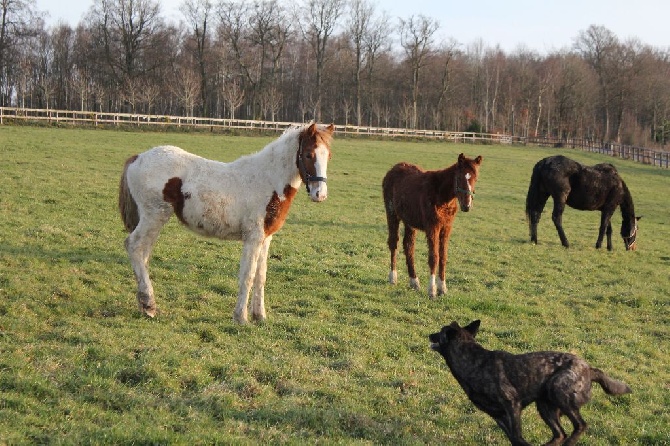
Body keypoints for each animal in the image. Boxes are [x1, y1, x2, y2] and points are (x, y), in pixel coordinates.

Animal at [120, 123, 336, 322]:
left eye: (328, 156)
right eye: (308, 155)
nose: (320, 194)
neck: (267, 181)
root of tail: (138, 158)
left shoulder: (265, 238)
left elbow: (261, 277)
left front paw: (260, 316)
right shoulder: (253, 238)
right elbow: (247, 276)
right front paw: (241, 317)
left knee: (143, 254)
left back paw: (146, 305)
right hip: (154, 216)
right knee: (134, 246)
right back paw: (149, 304)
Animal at [384, 154, 484, 300]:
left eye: (475, 178)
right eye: (459, 177)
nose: (466, 206)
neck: (441, 194)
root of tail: (393, 169)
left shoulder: (446, 228)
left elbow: (443, 257)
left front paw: (443, 288)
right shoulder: (432, 227)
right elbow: (434, 257)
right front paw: (432, 290)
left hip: (409, 221)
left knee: (408, 246)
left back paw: (414, 281)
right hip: (392, 213)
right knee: (393, 243)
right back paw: (393, 277)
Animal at [434, 318, 632, 444]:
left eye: (440, 332)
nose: (429, 335)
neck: (474, 361)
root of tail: (590, 370)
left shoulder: (512, 404)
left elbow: (518, 436)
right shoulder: (498, 416)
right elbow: (514, 439)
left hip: (558, 391)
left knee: (580, 426)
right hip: (545, 406)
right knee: (559, 434)